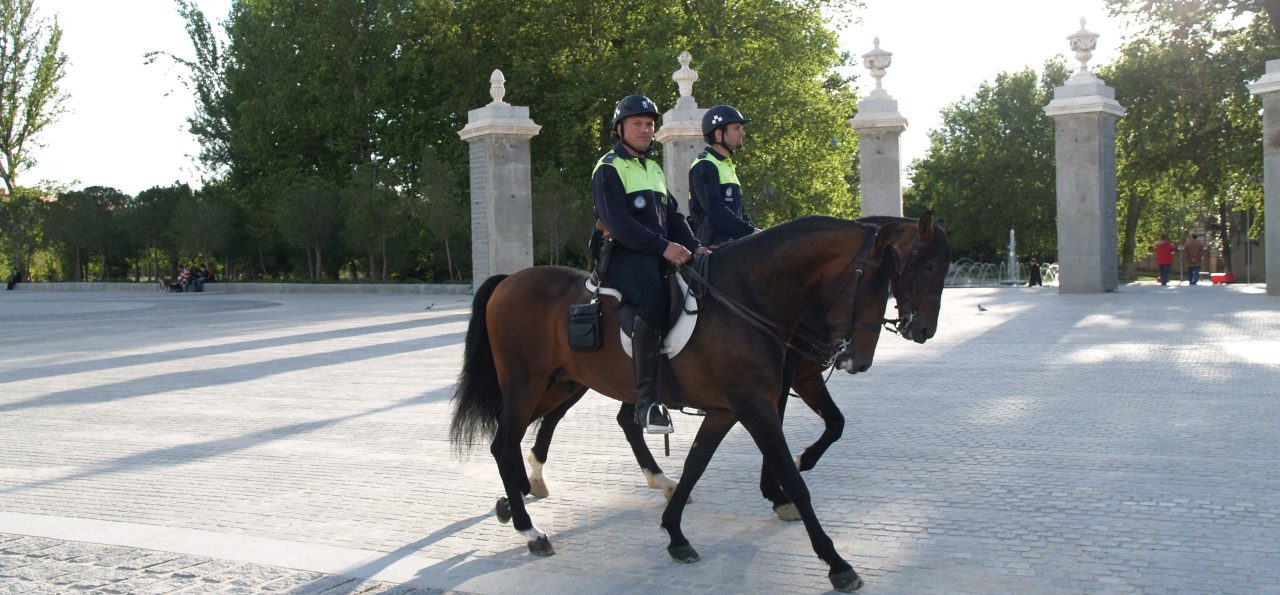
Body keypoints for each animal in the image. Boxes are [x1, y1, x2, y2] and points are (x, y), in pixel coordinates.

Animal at [453, 216, 901, 591]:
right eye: (868, 283)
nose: (858, 360)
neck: (746, 299)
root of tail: (510, 280)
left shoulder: (727, 410)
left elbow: (694, 465)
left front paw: (675, 533)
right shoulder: (755, 406)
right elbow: (794, 480)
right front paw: (836, 562)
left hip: (562, 383)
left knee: (522, 436)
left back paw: (518, 497)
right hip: (526, 384)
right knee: (504, 443)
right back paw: (530, 529)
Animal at [519, 211, 952, 516]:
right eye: (927, 266)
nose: (924, 330)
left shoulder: (799, 377)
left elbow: (836, 423)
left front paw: (796, 468)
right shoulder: (779, 382)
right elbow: (791, 429)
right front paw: (782, 488)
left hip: (578, 378)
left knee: (610, 418)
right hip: (568, 378)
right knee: (557, 417)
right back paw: (533, 481)